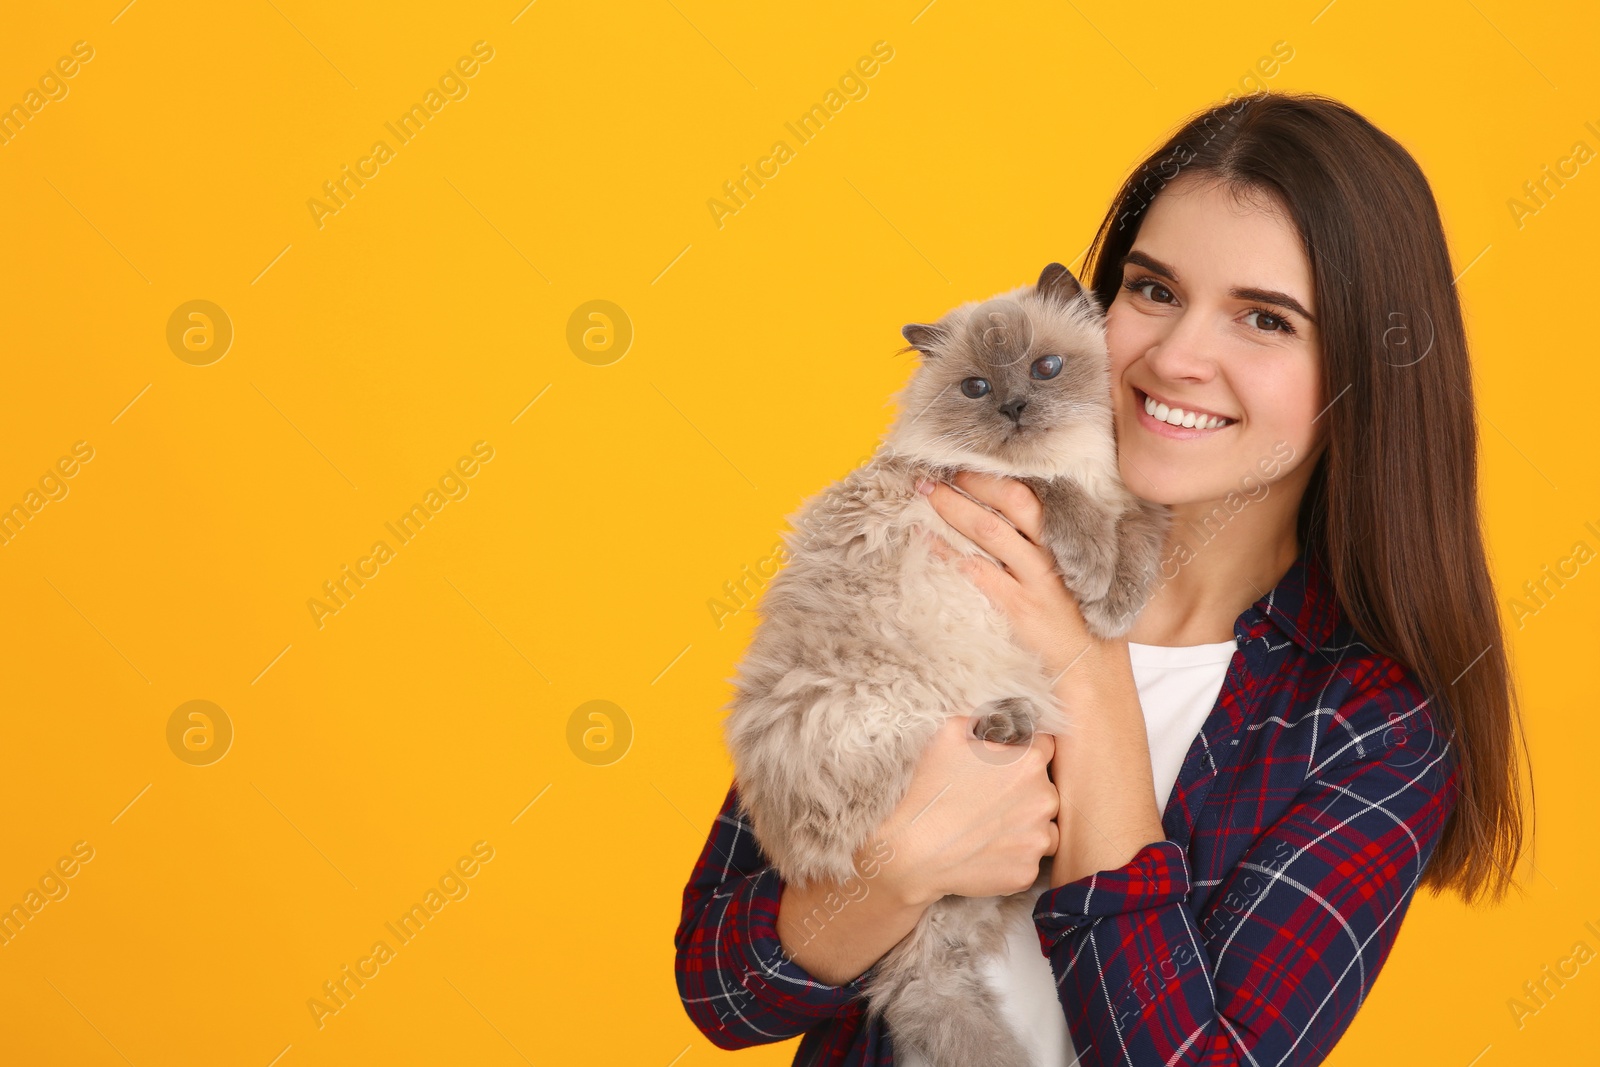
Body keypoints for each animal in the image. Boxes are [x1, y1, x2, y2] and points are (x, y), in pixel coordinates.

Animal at [723, 260, 1164, 1067]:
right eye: (976, 388)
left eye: (1045, 368)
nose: (1016, 407)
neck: (1079, 461)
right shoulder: (984, 485)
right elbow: (1057, 496)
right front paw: (1095, 581)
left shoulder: (1132, 501)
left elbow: (1143, 528)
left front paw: (1113, 602)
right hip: (889, 711)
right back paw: (1004, 724)